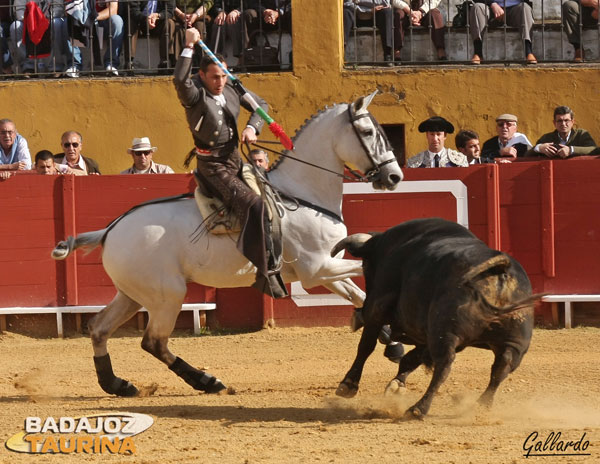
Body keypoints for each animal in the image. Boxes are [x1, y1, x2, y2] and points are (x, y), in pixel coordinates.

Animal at [51, 90, 404, 396]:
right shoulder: (316, 270)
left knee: (99, 327)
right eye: (369, 131)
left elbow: (359, 296)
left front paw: (392, 342)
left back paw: (117, 384)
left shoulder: (326, 269)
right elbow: (363, 282)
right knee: (153, 341)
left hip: (132, 294)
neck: (302, 193)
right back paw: (207, 381)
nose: (395, 177)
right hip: (167, 295)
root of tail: (110, 230)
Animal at [332, 219, 540, 418]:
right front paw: (396, 385)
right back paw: (481, 406)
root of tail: (501, 270)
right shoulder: (426, 333)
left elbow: (366, 346)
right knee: (501, 368)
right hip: (515, 343)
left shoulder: (377, 308)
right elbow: (410, 358)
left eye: (365, 265)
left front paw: (348, 384)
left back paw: (418, 409)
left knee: (444, 365)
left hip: (445, 332)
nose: (360, 311)